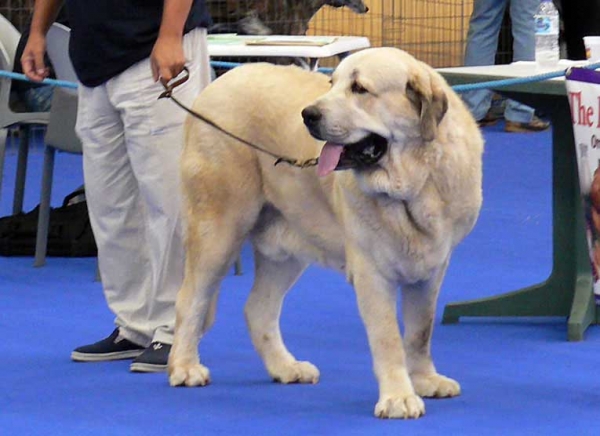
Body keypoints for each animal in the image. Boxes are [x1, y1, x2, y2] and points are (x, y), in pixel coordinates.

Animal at [168, 46, 482, 418]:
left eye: (359, 89)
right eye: (332, 83)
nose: (309, 114)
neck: (414, 184)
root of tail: (214, 87)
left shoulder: (430, 270)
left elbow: (420, 332)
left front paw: (424, 380)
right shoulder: (372, 273)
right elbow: (388, 338)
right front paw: (398, 397)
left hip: (284, 248)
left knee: (258, 308)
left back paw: (285, 367)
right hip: (218, 230)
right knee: (190, 299)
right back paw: (185, 367)